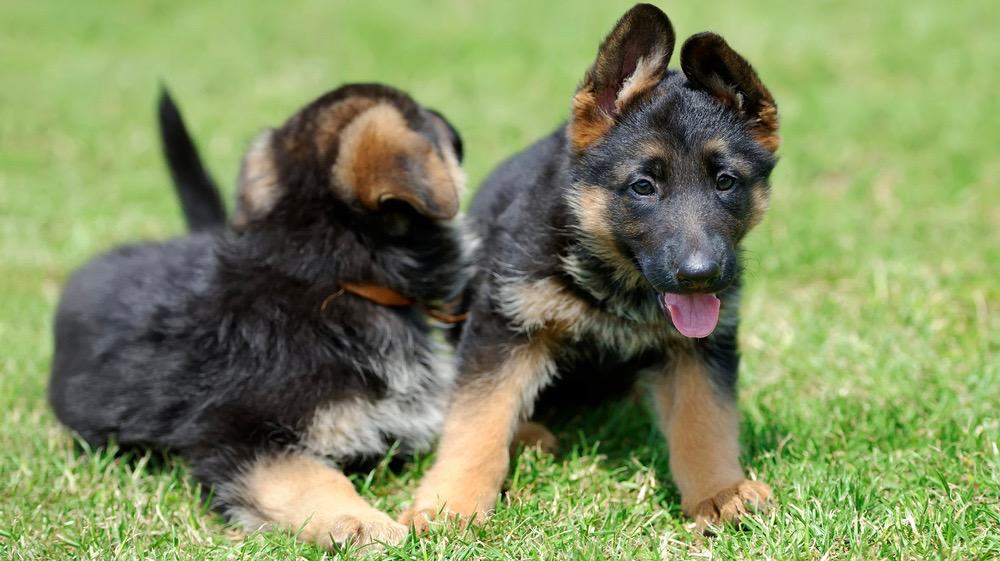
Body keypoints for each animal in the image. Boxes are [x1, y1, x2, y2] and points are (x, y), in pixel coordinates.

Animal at [52, 84, 474, 548]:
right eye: (425, 119)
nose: (454, 127)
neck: (326, 274)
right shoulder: (238, 434)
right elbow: (310, 477)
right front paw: (363, 523)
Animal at [402, 4, 776, 540]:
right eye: (643, 187)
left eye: (726, 182)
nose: (700, 274)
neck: (614, 277)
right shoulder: (505, 325)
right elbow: (478, 418)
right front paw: (452, 501)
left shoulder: (700, 348)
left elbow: (705, 421)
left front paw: (718, 491)